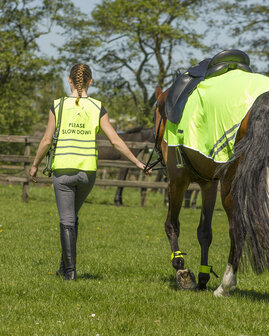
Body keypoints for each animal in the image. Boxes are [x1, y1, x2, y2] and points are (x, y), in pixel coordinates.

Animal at [153, 77, 268, 296]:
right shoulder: (208, 184)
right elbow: (204, 232)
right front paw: (202, 277)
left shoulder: (177, 180)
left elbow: (171, 224)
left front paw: (180, 268)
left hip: (231, 186)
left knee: (237, 230)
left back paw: (224, 286)